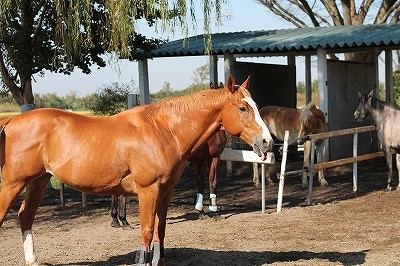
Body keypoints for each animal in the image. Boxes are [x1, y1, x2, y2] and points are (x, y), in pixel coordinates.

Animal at [0, 74, 272, 266]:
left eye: (255, 105)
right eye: (243, 108)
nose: (267, 141)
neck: (164, 131)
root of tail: (12, 120)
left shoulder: (166, 191)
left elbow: (161, 230)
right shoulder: (147, 190)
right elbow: (147, 231)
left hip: (38, 181)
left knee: (25, 216)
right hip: (14, 184)